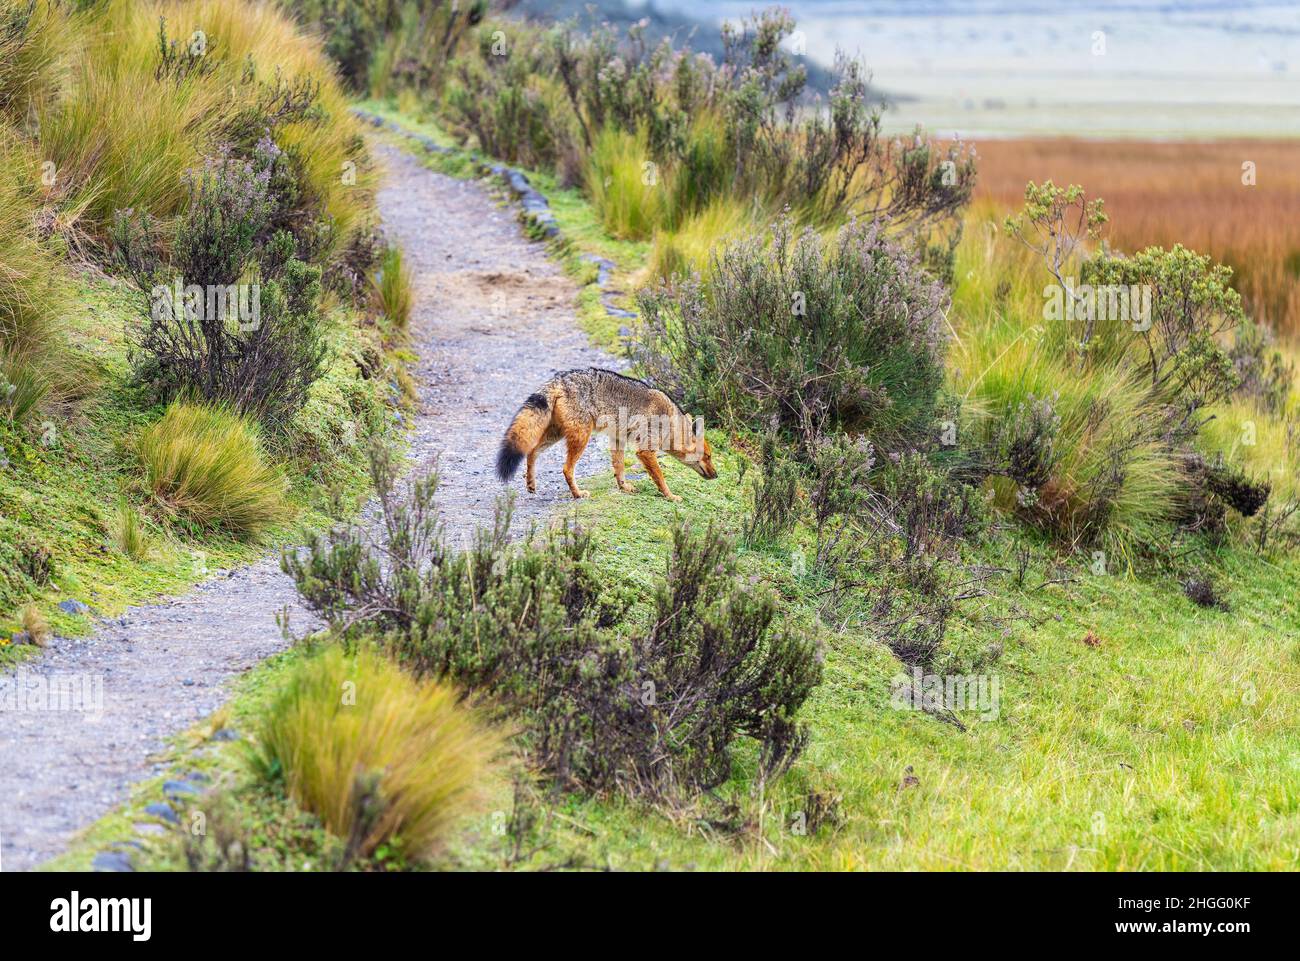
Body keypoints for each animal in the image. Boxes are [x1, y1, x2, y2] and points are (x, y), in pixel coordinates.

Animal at [495, 367, 718, 501]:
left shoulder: (618, 439)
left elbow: (619, 469)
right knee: (566, 469)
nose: (717, 475)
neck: (669, 422)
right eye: (708, 457)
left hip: (556, 435)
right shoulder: (645, 451)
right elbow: (660, 477)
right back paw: (578, 494)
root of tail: (560, 379)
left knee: (532, 451)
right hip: (581, 439)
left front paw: (624, 487)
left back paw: (531, 485)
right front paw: (670, 496)